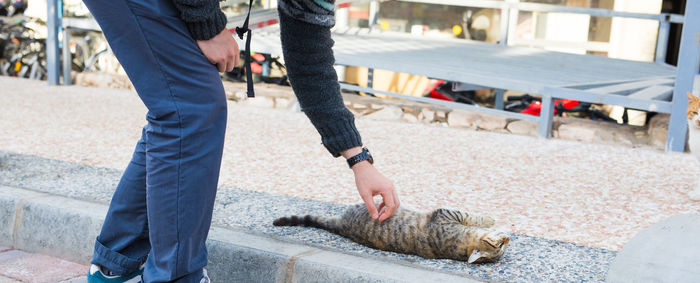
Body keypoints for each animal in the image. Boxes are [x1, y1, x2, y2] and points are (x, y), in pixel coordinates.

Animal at [272, 204, 508, 264]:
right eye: (500, 246)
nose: (508, 239)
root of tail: (342, 225)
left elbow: (473, 218)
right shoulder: (446, 214)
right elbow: (474, 217)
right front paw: (490, 220)